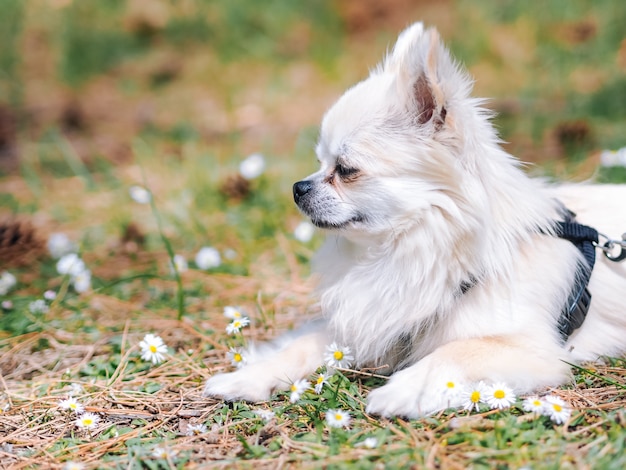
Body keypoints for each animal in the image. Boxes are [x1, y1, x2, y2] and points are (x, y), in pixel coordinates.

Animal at [204, 23, 624, 418]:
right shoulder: (374, 319)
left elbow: (455, 352)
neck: (405, 248)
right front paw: (249, 376)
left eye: (346, 170)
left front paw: (404, 390)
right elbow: (302, 345)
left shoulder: (530, 349)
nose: (298, 187)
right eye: (320, 162)